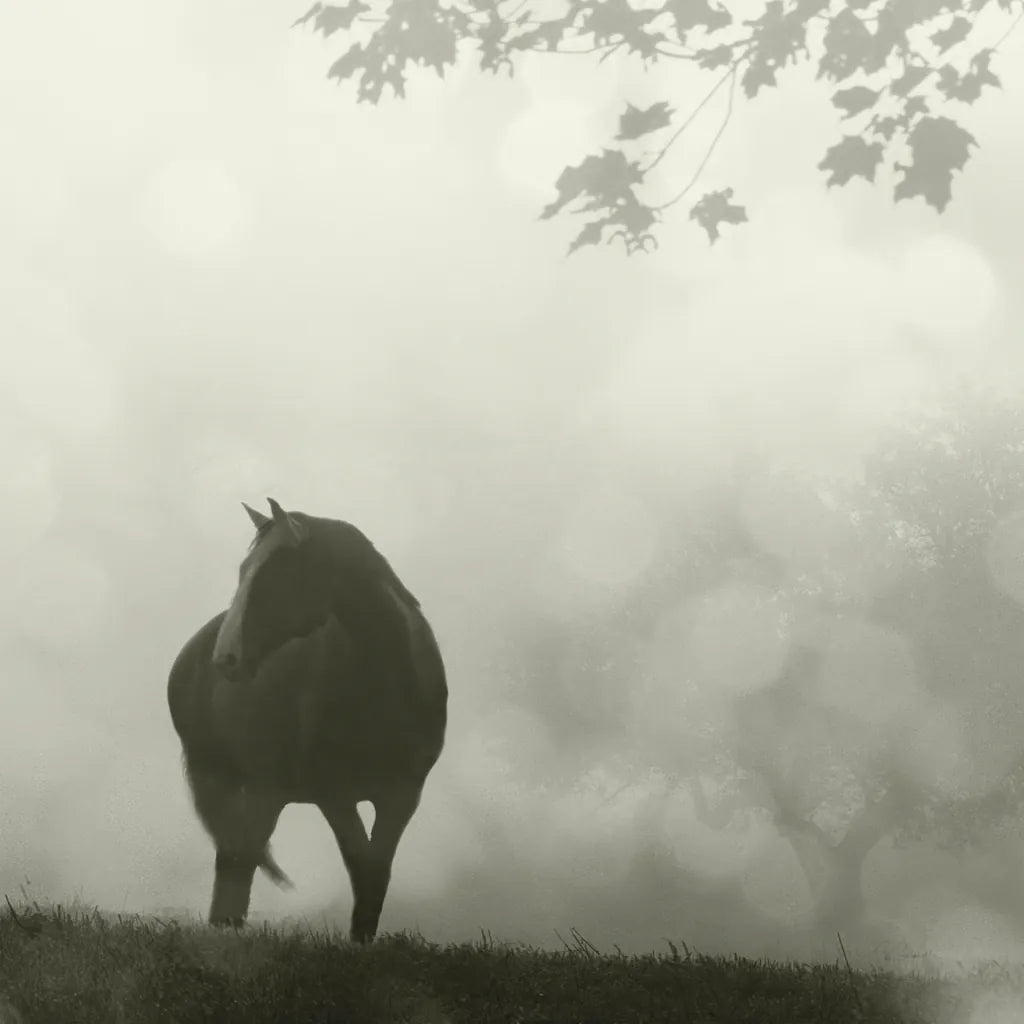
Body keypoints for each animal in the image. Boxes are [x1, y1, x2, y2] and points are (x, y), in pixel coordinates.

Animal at [167, 497, 447, 942]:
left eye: (277, 571)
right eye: (244, 570)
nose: (225, 658)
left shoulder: (402, 796)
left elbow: (376, 873)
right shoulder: (335, 796)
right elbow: (360, 866)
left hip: (264, 790)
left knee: (240, 855)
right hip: (228, 777)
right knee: (236, 858)